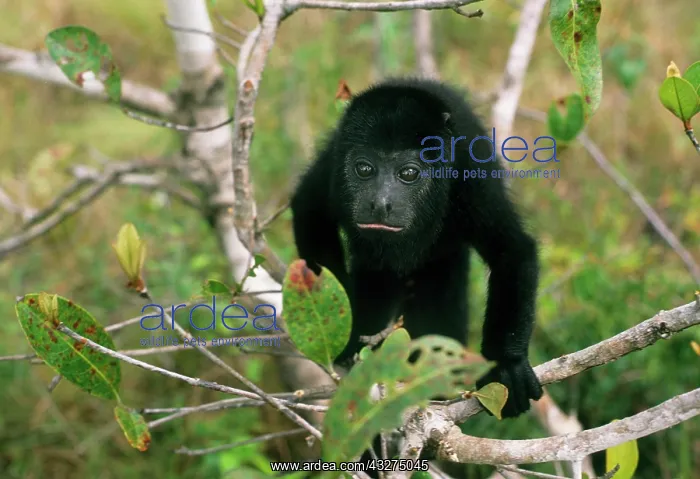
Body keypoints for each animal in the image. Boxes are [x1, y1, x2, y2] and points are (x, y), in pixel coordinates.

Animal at [290, 77, 543, 420]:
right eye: (364, 169)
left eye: (408, 173)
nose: (380, 203)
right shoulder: (334, 163)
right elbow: (310, 210)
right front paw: (346, 332)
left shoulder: (470, 176)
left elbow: (512, 250)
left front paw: (507, 365)